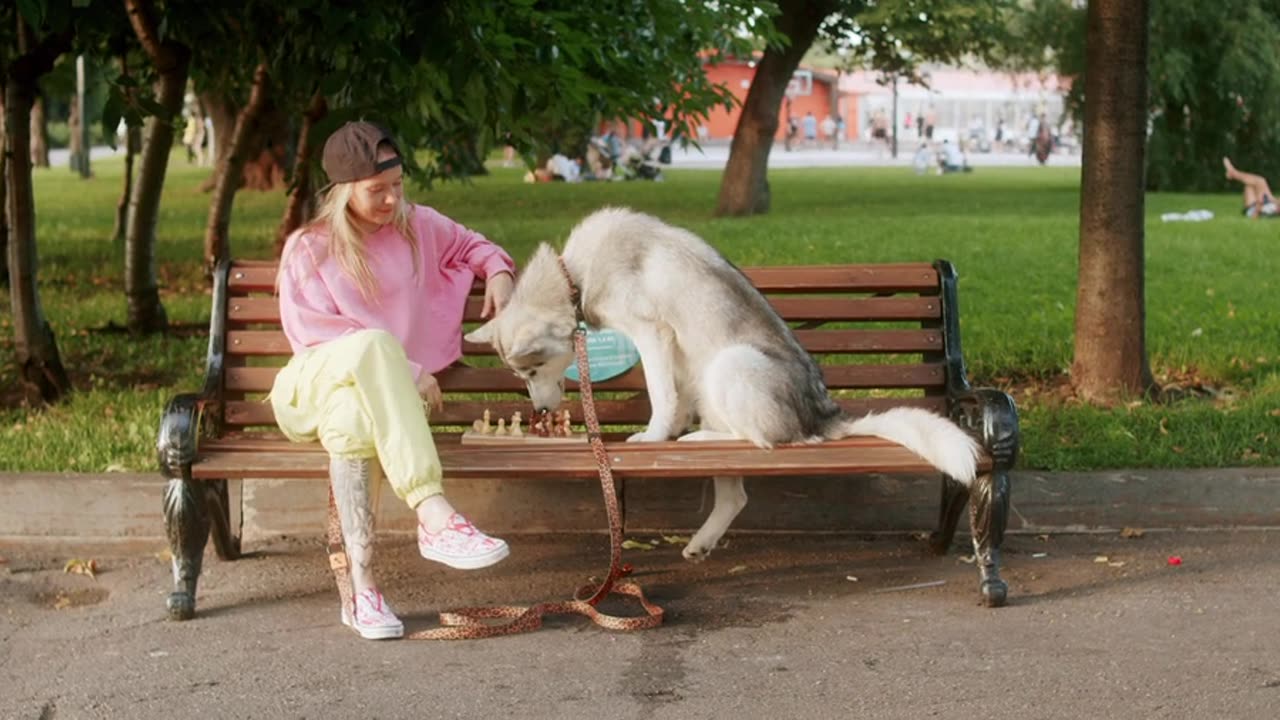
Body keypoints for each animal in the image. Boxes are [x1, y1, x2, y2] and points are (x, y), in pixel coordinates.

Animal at [471, 207, 977, 561]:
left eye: (530, 371)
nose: (539, 412)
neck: (574, 274)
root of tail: (823, 414)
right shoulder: (671, 355)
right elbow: (669, 396)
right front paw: (664, 432)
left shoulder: (652, 334)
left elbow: (659, 396)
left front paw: (653, 437)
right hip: (708, 383)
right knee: (737, 493)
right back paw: (702, 528)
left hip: (729, 364)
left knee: (763, 442)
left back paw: (700, 438)